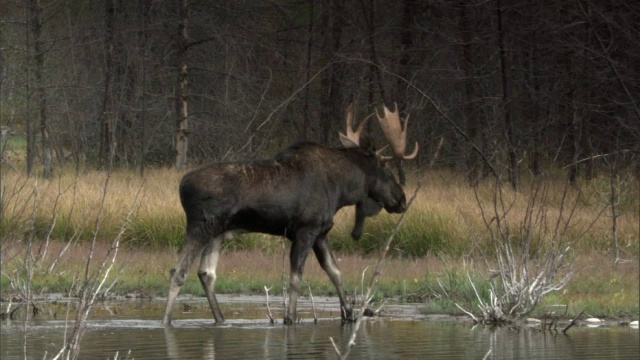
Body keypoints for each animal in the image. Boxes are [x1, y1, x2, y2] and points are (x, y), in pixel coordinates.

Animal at [162, 102, 418, 324]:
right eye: (385, 167)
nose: (401, 199)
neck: (342, 190)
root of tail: (181, 186)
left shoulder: (321, 232)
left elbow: (334, 271)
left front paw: (349, 313)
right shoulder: (306, 230)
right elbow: (296, 277)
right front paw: (290, 318)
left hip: (217, 233)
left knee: (206, 273)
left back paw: (221, 319)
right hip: (201, 226)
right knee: (178, 271)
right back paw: (166, 322)